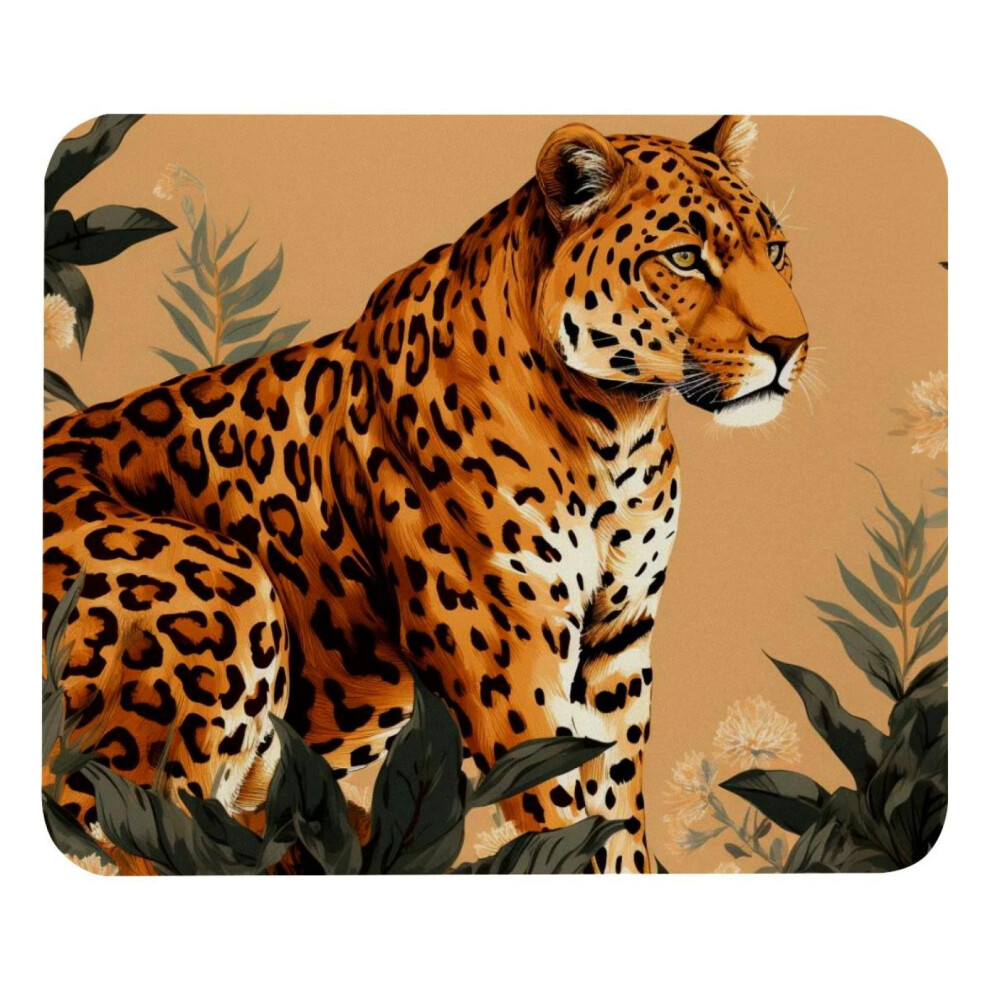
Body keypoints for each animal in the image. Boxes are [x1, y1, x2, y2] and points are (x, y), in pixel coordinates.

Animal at [42, 115, 810, 873]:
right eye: (683, 259)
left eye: (776, 251)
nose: (790, 343)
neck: (614, 430)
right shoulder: (506, 653)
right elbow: (563, 814)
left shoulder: (615, 647)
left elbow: (617, 809)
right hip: (220, 596)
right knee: (134, 831)